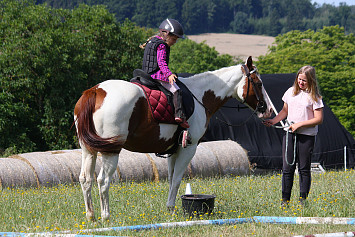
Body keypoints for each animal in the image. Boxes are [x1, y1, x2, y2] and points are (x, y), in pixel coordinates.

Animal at [73, 56, 274, 221]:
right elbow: (177, 178)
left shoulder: (173, 151)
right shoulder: (188, 148)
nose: (269, 111)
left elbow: (171, 179)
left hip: (88, 150)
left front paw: (169, 209)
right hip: (111, 151)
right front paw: (171, 208)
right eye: (259, 83)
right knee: (103, 181)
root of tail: (95, 91)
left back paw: (91, 216)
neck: (199, 96)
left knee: (86, 179)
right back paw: (106, 216)